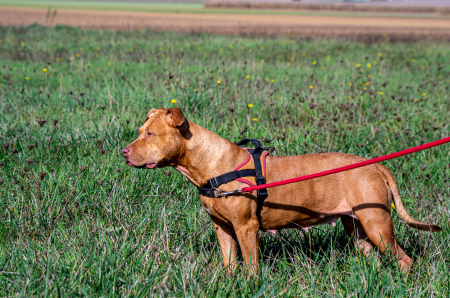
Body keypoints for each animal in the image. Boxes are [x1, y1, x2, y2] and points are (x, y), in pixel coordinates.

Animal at [122, 107, 442, 272]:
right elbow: (229, 263)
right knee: (374, 257)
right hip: (358, 228)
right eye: (140, 132)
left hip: (378, 224)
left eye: (150, 133)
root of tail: (376, 166)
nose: (123, 152)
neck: (209, 165)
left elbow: (251, 265)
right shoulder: (223, 228)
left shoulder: (246, 227)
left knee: (404, 259)